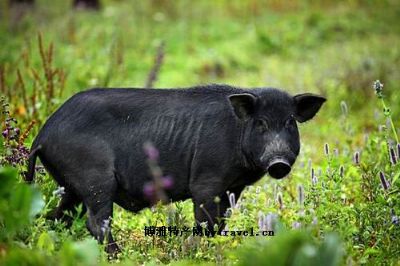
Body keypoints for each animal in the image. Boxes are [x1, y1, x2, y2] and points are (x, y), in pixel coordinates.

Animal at [25, 84, 324, 254]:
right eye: (261, 123)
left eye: (289, 122)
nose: (278, 161)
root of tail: (42, 136)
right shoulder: (206, 181)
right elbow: (205, 222)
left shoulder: (234, 188)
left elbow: (221, 223)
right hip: (94, 179)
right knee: (96, 221)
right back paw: (117, 256)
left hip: (70, 186)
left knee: (58, 216)